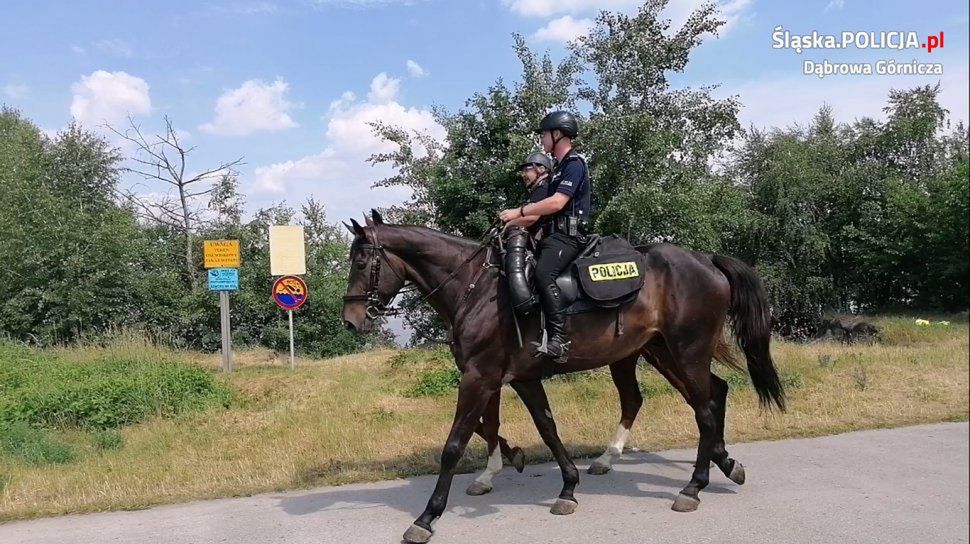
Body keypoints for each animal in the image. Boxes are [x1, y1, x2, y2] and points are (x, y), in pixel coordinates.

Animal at [338, 210, 780, 540]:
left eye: (360, 262)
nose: (351, 320)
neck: (475, 289)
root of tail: (707, 261)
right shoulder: (516, 378)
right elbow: (543, 428)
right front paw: (565, 485)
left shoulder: (480, 377)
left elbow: (455, 444)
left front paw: (427, 518)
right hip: (661, 352)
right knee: (709, 394)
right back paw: (723, 463)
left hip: (686, 351)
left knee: (702, 409)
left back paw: (693, 487)